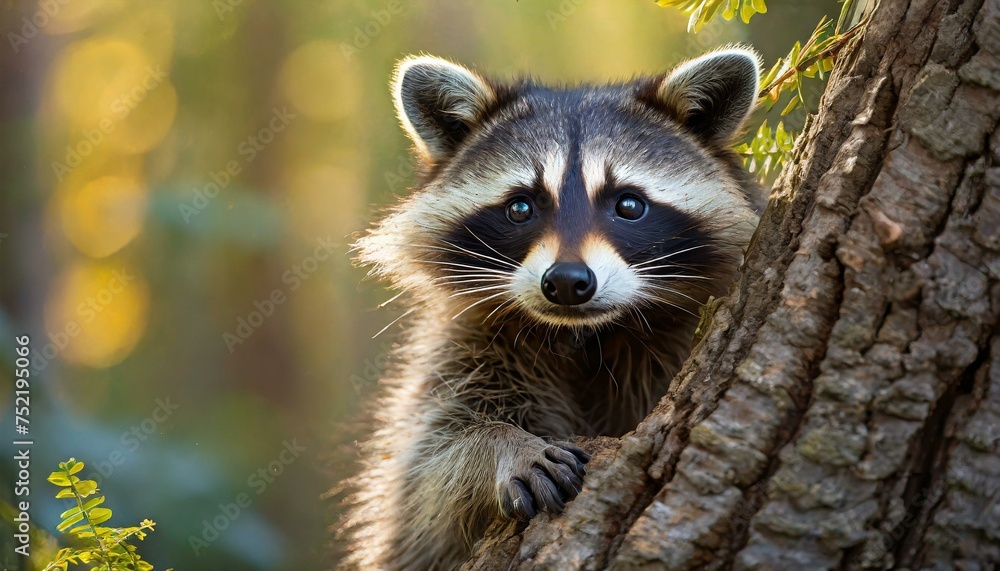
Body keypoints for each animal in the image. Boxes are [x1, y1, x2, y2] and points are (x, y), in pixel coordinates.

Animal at [342, 47, 756, 568]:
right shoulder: (467, 349)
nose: (566, 282)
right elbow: (421, 489)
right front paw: (501, 445)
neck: (584, 336)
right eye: (521, 207)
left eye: (629, 205)